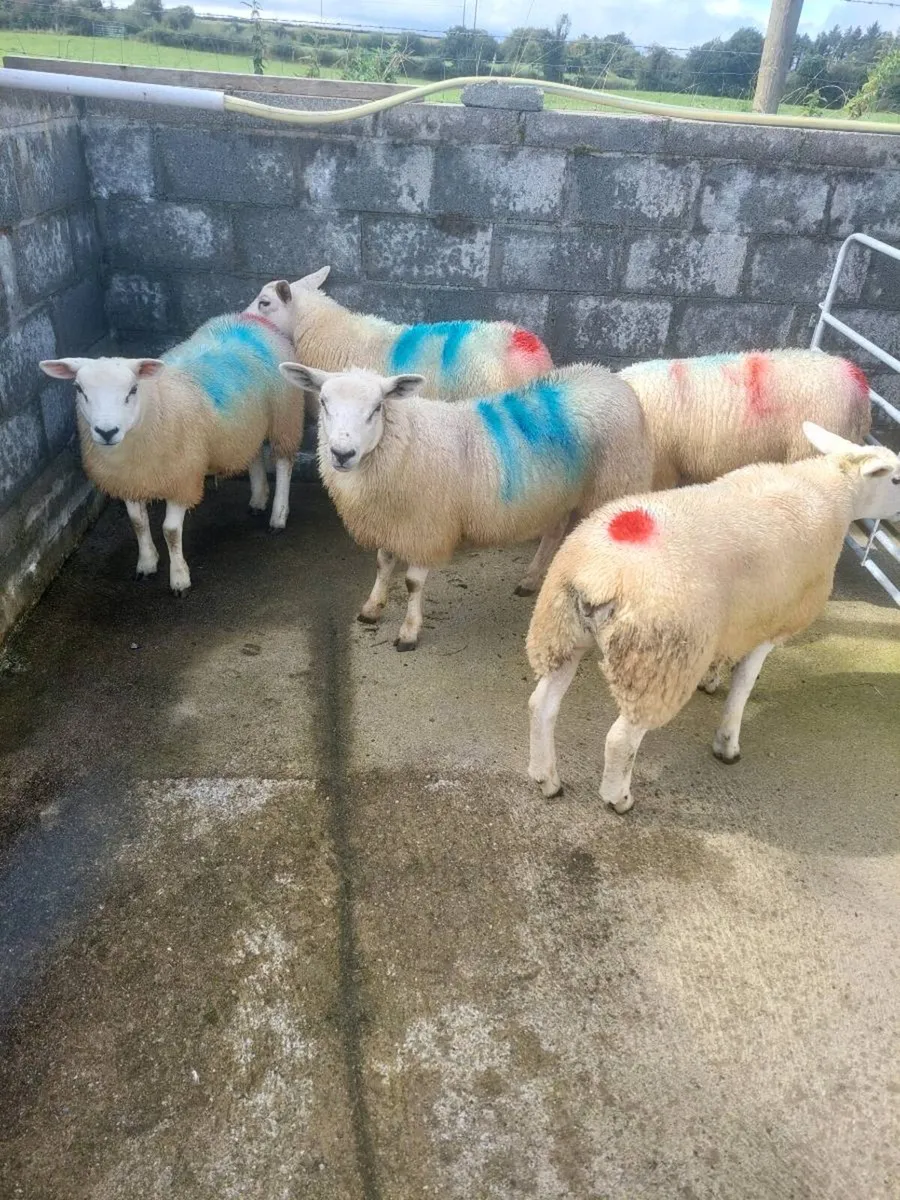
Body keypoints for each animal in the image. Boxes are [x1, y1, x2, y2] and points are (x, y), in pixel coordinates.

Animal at [39, 308, 304, 594]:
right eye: (79, 389)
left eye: (133, 390)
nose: (106, 431)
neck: (154, 407)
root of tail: (249, 319)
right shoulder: (129, 480)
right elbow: (138, 522)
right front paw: (146, 563)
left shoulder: (182, 478)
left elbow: (171, 531)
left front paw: (179, 579)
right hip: (247, 422)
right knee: (253, 453)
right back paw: (258, 499)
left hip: (285, 416)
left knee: (284, 463)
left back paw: (278, 516)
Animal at [278, 361, 654, 650]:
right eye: (323, 402)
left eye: (377, 408)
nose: (342, 454)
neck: (407, 441)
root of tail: (610, 377)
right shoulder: (392, 520)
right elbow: (383, 564)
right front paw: (371, 608)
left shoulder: (427, 526)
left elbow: (412, 583)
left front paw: (409, 633)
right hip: (562, 492)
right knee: (554, 531)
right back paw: (531, 580)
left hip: (615, 483)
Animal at [525, 422, 900, 814]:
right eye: (896, 480)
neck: (831, 491)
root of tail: (601, 574)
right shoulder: (773, 620)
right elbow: (745, 685)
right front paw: (727, 743)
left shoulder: (735, 619)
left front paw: (711, 679)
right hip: (656, 660)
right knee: (620, 739)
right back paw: (619, 798)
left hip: (560, 633)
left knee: (541, 705)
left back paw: (546, 779)